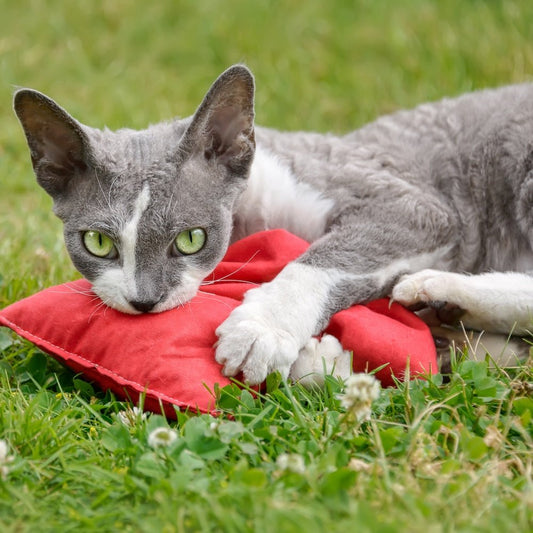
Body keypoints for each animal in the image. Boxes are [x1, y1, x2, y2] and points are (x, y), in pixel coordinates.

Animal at [14, 65, 528, 382]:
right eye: (98, 243)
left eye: (190, 239)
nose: (144, 300)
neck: (254, 217)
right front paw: (325, 361)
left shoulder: (414, 205)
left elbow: (322, 260)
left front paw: (261, 329)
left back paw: (441, 291)